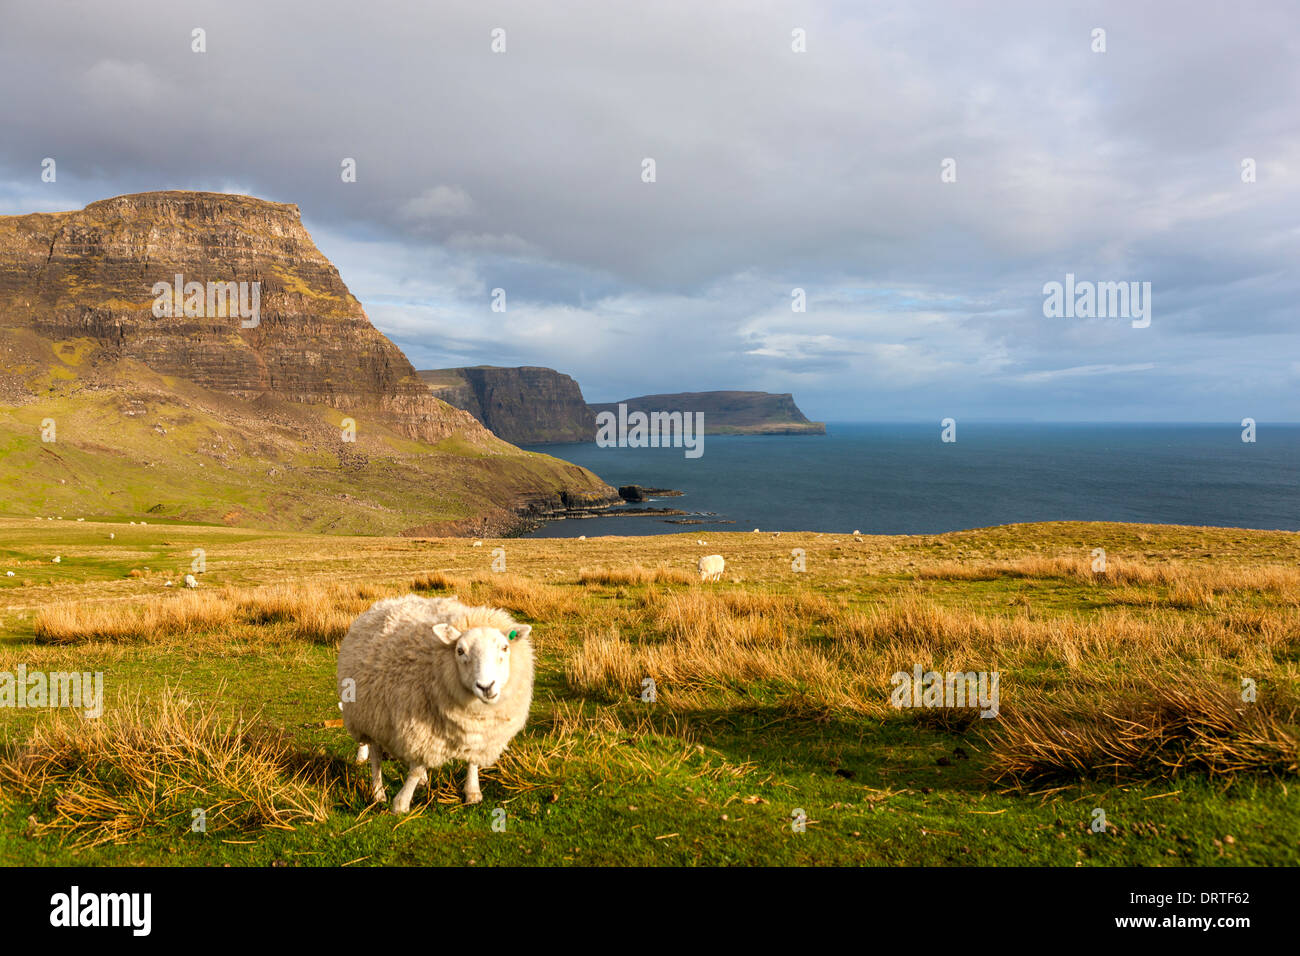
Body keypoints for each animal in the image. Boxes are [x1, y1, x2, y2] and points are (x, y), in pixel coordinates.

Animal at [340, 598, 538, 816]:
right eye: (460, 651)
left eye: (505, 648)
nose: (486, 687)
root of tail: (389, 601)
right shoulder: (420, 729)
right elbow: (415, 768)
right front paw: (401, 803)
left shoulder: (478, 730)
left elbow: (472, 759)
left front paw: (472, 792)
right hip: (370, 714)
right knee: (375, 755)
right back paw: (378, 793)